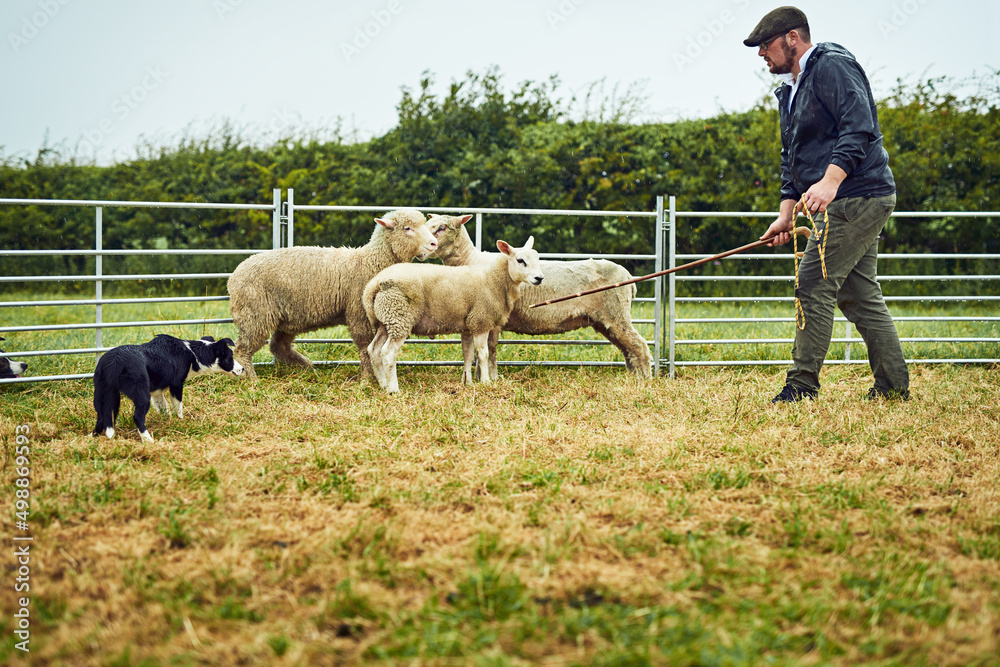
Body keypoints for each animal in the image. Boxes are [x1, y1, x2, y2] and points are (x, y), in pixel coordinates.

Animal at [92, 334, 244, 444]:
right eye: (230, 357)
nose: (242, 369)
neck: (192, 353)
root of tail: (114, 362)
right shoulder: (177, 385)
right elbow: (178, 407)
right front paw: (180, 422)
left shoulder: (157, 392)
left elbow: (164, 408)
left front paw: (167, 423)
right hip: (141, 394)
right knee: (137, 417)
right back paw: (148, 440)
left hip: (102, 393)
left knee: (101, 417)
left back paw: (93, 436)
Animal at [231, 211, 442, 384]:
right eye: (407, 228)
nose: (434, 244)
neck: (370, 261)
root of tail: (234, 276)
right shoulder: (359, 314)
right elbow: (365, 347)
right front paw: (366, 379)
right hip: (255, 315)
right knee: (242, 349)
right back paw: (251, 379)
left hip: (287, 318)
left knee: (278, 346)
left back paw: (307, 368)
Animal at [364, 236, 544, 394]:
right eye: (520, 260)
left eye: (538, 258)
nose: (539, 278)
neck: (495, 279)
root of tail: (374, 284)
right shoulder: (481, 321)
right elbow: (483, 354)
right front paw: (485, 382)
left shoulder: (468, 325)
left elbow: (468, 355)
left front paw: (467, 383)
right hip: (400, 315)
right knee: (388, 353)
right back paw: (394, 389)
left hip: (386, 320)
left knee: (374, 350)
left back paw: (383, 384)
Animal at [424, 215, 652, 378]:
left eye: (441, 227)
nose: (427, 245)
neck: (469, 260)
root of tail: (628, 276)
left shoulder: (493, 317)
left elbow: (491, 348)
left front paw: (491, 377)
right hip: (603, 320)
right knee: (628, 349)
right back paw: (633, 377)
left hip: (616, 312)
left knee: (639, 345)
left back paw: (645, 381)